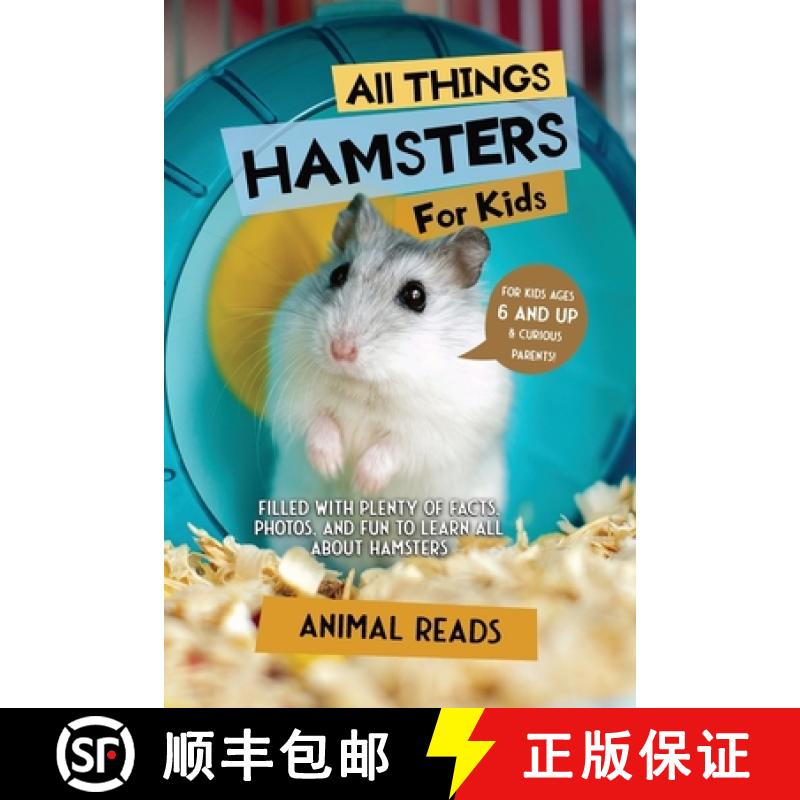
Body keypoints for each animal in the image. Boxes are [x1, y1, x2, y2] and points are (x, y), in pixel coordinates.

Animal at [266, 194, 512, 557]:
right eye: (338, 274)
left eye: (415, 295)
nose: (340, 351)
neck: (365, 384)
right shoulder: (295, 401)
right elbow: (319, 424)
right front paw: (333, 466)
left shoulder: (432, 433)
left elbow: (395, 446)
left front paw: (362, 484)